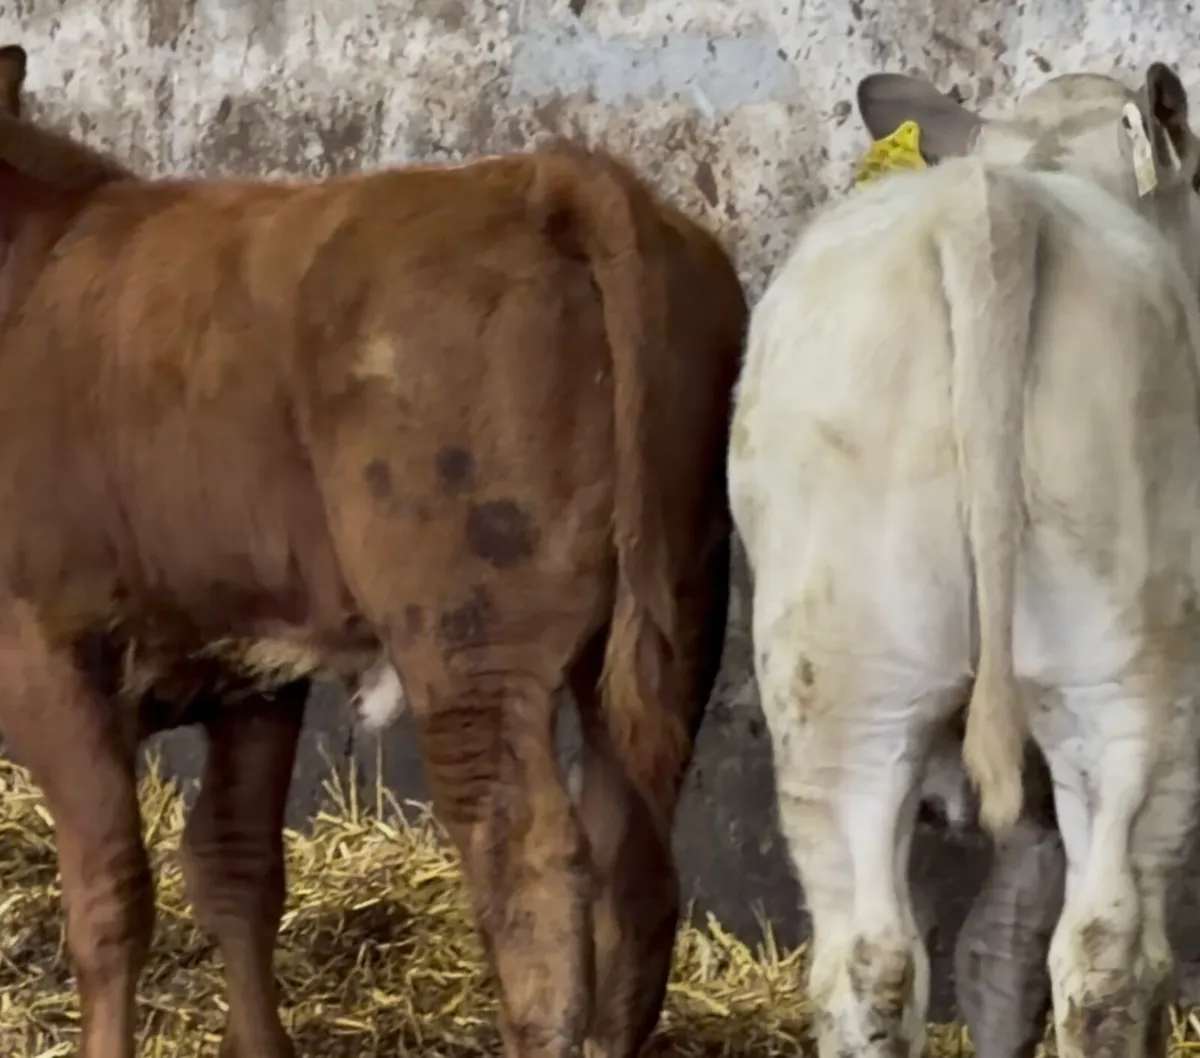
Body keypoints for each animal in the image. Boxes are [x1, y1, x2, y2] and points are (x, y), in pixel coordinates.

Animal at [0, 52, 746, 1058]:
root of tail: (540, 175)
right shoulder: (251, 669)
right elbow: (236, 870)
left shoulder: (41, 644)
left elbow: (111, 894)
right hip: (679, 609)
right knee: (637, 859)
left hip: (468, 633)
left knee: (531, 860)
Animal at [728, 60, 1200, 1058]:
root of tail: (996, 206)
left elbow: (997, 947)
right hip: (1133, 686)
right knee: (1109, 947)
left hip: (844, 686)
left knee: (877, 958)